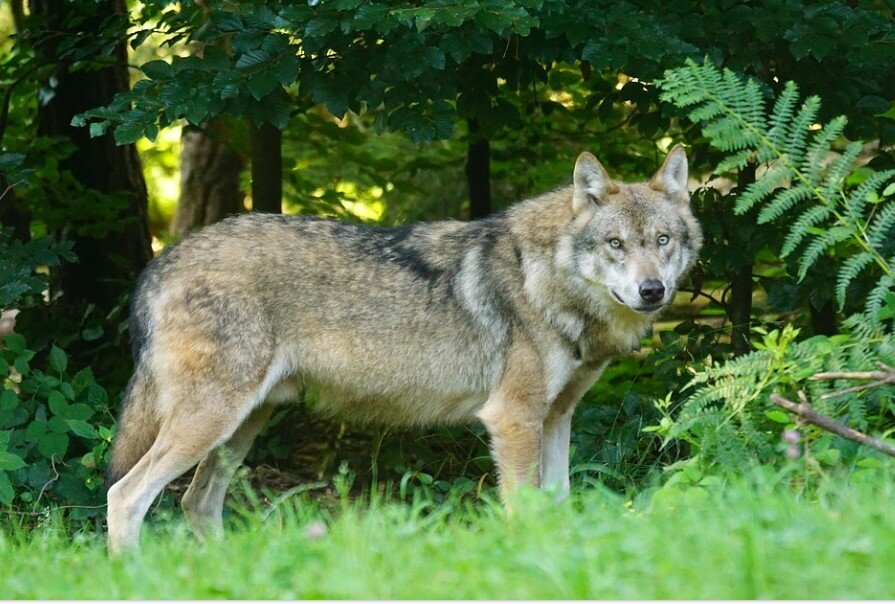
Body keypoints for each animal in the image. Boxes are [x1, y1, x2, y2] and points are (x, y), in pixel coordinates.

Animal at [107, 146, 700, 552]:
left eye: (662, 241)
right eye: (615, 244)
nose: (652, 291)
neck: (545, 279)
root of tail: (162, 261)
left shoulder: (556, 417)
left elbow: (559, 506)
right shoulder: (513, 419)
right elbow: (525, 512)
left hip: (241, 427)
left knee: (196, 503)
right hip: (211, 422)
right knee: (125, 495)